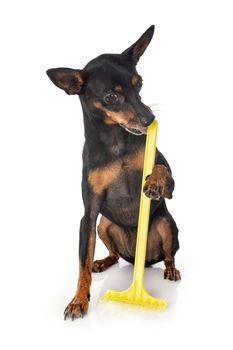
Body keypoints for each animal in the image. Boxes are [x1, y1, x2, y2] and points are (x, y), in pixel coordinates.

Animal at [45, 23, 180, 320]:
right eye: (111, 97)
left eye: (139, 84)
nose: (149, 119)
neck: (117, 143)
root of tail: (139, 260)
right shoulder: (89, 215)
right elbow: (82, 265)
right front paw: (78, 300)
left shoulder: (172, 184)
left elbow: (161, 168)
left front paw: (153, 182)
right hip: (104, 225)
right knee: (114, 255)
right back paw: (104, 261)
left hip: (165, 225)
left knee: (169, 254)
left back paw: (171, 268)